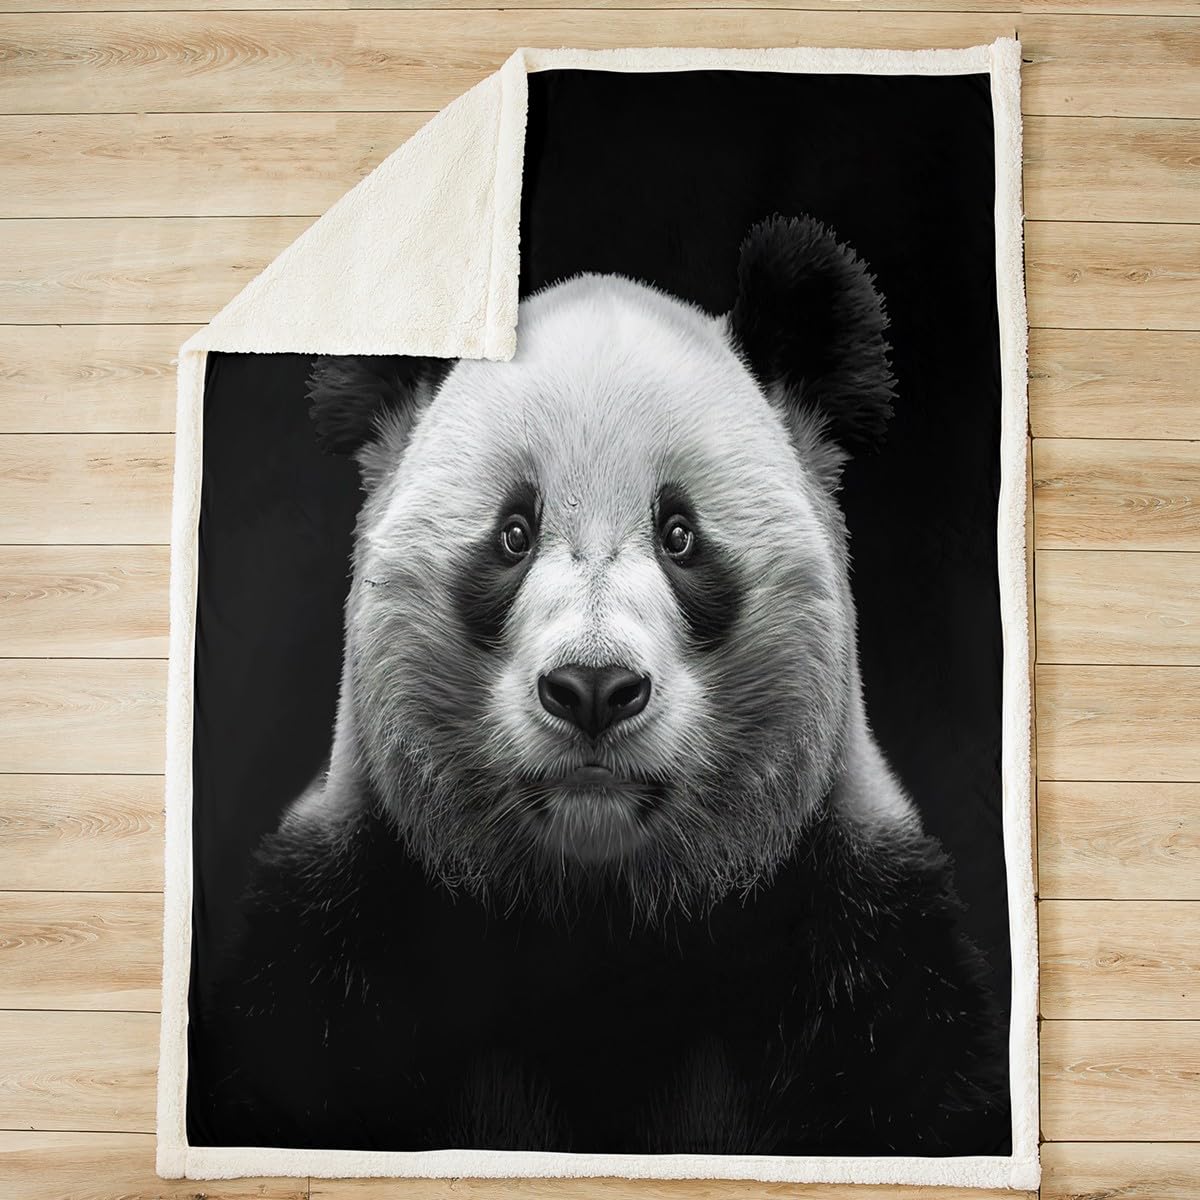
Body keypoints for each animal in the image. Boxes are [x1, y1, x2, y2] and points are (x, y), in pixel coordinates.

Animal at [195, 215, 1006, 1156]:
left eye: (680, 534)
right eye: (513, 533)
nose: (592, 688)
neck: (600, 923)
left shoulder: (866, 956)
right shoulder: (337, 945)